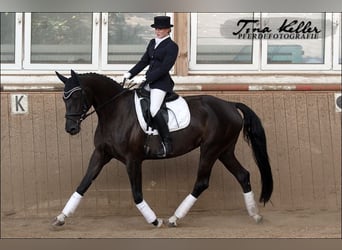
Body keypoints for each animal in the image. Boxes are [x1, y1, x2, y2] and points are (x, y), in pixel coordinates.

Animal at [52, 69, 272, 228]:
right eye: (64, 98)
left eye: (77, 97)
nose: (71, 128)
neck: (115, 112)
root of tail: (229, 104)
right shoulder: (101, 154)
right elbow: (83, 185)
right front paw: (61, 217)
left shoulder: (133, 160)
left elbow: (136, 194)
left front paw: (154, 220)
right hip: (224, 151)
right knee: (243, 175)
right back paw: (255, 215)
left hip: (210, 149)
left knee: (202, 182)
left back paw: (174, 218)